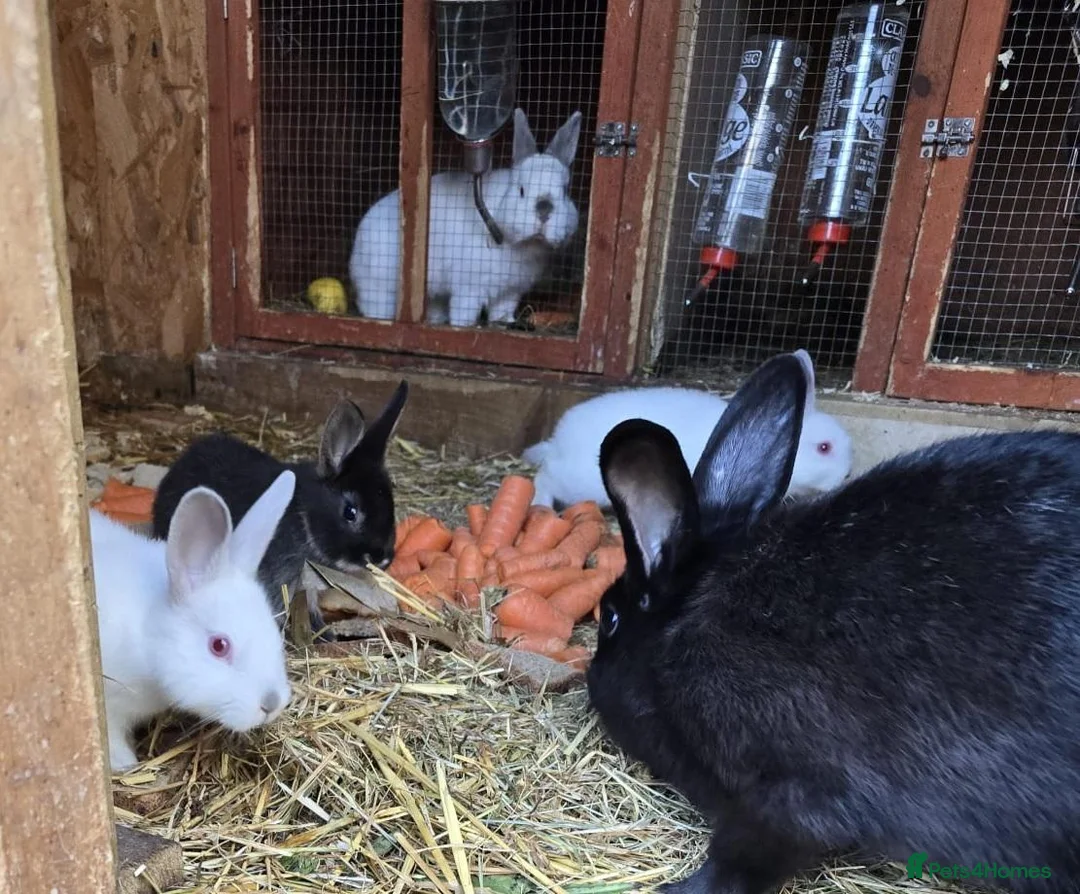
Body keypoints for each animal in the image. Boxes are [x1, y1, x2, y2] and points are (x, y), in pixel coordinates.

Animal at [91, 470, 296, 772]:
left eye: (275, 631)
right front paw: (126, 764)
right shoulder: (109, 706)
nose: (271, 704)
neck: (149, 632)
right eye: (219, 646)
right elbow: (113, 740)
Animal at [349, 108, 583, 328]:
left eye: (565, 191)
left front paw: (505, 323)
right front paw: (464, 327)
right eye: (521, 190)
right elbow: (464, 313)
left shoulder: (510, 292)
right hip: (379, 285)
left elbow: (502, 312)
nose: (544, 210)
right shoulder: (468, 289)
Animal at [522, 350, 852, 510]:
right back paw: (541, 506)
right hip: (575, 483)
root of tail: (559, 439)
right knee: (544, 477)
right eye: (824, 448)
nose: (847, 475)